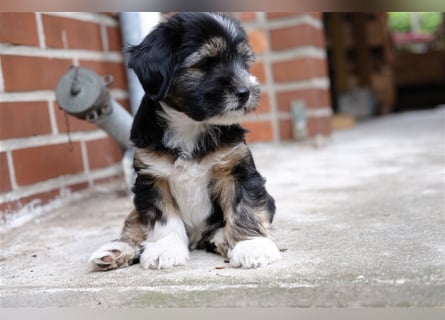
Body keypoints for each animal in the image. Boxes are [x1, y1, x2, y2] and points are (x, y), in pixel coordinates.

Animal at [88, 11, 280, 270]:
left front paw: (252, 246)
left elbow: (244, 206)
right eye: (205, 63)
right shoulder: (152, 178)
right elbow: (163, 218)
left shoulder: (236, 169)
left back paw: (222, 238)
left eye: (244, 63)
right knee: (134, 224)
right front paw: (165, 250)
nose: (245, 92)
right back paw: (115, 251)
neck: (190, 125)